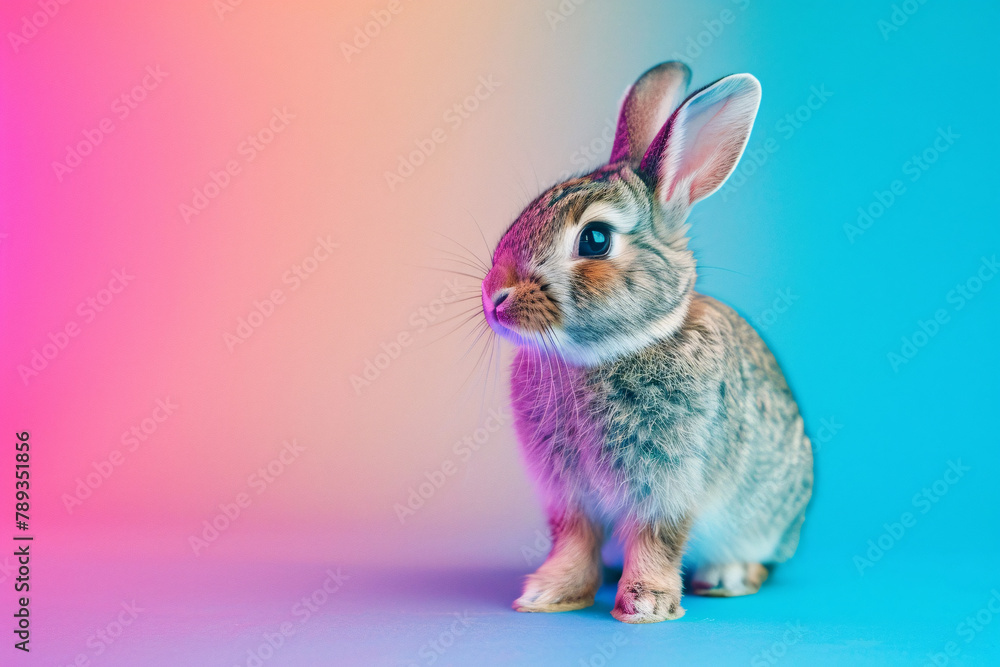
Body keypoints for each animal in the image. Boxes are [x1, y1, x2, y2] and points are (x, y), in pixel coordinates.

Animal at [479, 62, 813, 624]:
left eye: (595, 240)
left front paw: (645, 605)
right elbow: (574, 543)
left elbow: (658, 540)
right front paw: (548, 596)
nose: (494, 298)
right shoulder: (568, 497)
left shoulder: (670, 483)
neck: (603, 353)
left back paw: (726, 577)